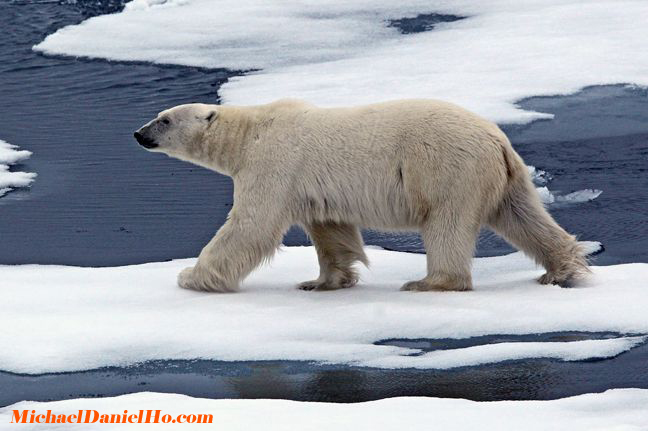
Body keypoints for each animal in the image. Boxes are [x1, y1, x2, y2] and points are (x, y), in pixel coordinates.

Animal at [134, 98, 588, 294]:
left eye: (164, 119)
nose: (138, 133)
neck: (249, 134)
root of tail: (498, 139)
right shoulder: (313, 187)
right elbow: (331, 231)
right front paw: (321, 281)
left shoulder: (274, 164)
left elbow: (249, 226)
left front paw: (192, 277)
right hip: (506, 177)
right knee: (522, 215)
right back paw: (561, 267)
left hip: (447, 168)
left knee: (446, 223)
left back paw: (430, 282)